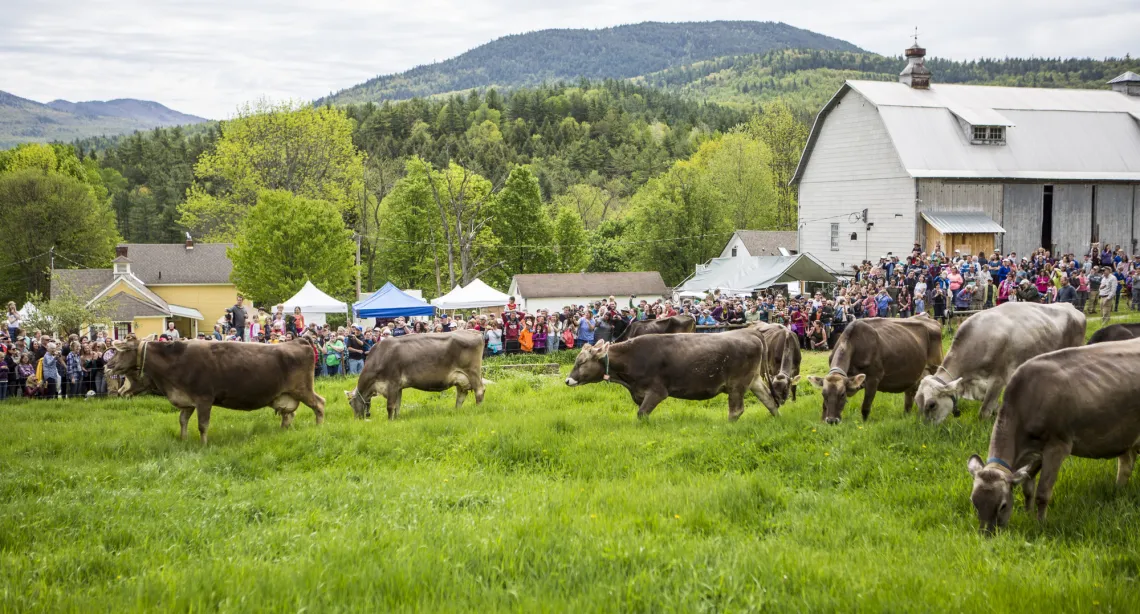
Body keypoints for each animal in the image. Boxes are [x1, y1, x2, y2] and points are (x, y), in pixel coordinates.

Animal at [105, 339, 326, 444]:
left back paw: (319, 428)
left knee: (320, 404)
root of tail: (298, 341)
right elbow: (182, 421)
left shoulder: (204, 398)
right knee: (289, 415)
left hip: (303, 389)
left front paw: (203, 445)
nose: (107, 364)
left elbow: (203, 425)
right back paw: (283, 431)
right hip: (285, 395)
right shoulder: (187, 401)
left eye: (123, 350)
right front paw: (183, 440)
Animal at [342, 332, 485, 419]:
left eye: (350, 403)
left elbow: (390, 406)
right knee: (461, 395)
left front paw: (389, 421)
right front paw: (396, 419)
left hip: (473, 372)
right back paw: (456, 411)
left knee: (479, 390)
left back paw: (478, 409)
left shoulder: (392, 383)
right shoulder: (398, 387)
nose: (357, 419)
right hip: (460, 378)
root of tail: (474, 333)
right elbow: (397, 405)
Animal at [811, 314, 943, 426]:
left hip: (935, 367)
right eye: (823, 394)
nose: (832, 421)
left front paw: (864, 425)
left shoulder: (873, 379)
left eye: (842, 394)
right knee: (910, 396)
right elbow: (824, 406)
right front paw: (823, 421)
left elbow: (865, 407)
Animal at [912, 300, 1080, 423]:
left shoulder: (999, 378)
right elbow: (986, 399)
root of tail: (1070, 306)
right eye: (917, 402)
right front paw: (998, 410)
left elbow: (984, 411)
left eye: (931, 405)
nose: (927, 429)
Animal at [966, 341, 1140, 533]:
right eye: (974, 503)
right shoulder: (1035, 451)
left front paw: (1040, 524)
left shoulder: (1057, 446)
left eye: (1002, 505)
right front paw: (1028, 514)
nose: (986, 534)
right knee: (1126, 464)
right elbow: (1028, 486)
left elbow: (1042, 492)